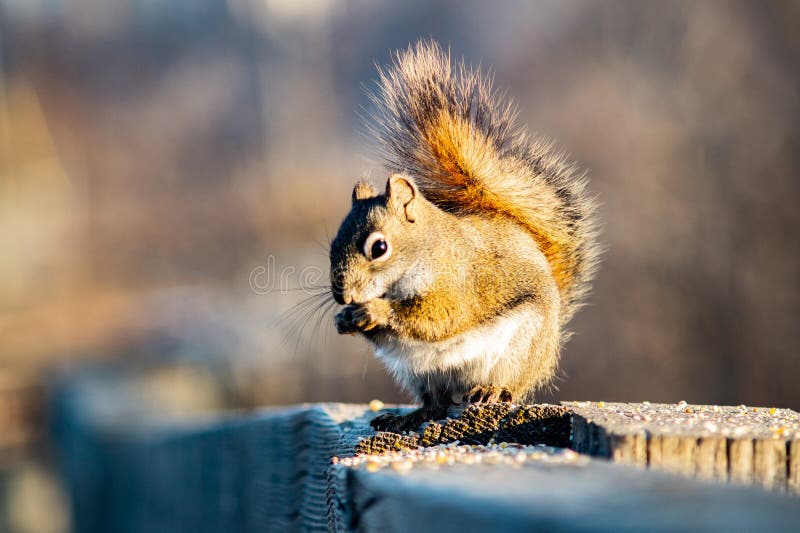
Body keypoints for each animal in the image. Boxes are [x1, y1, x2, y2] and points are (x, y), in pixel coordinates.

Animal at [329, 40, 600, 433]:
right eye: (333, 243)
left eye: (379, 247)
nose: (343, 295)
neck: (426, 249)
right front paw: (345, 318)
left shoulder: (459, 282)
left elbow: (439, 316)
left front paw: (375, 310)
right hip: (420, 374)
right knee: (437, 403)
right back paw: (411, 415)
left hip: (519, 349)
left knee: (507, 386)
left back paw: (491, 391)